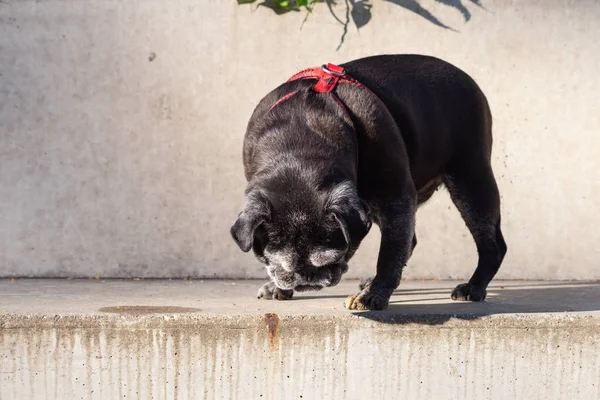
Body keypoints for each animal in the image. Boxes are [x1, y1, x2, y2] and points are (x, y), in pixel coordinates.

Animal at [230, 54, 506, 310]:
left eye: (334, 256)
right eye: (280, 264)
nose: (307, 277)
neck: (298, 150)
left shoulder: (396, 198)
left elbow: (389, 254)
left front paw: (374, 295)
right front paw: (277, 286)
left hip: (470, 183)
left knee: (491, 244)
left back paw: (474, 287)